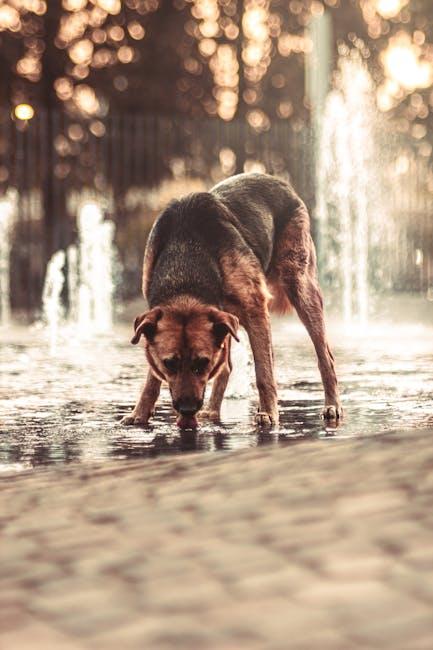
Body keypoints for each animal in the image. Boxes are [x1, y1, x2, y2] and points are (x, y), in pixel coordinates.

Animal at [121, 170, 340, 428]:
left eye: (202, 363)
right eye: (169, 363)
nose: (187, 409)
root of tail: (279, 181)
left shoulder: (255, 310)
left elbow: (263, 372)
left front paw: (268, 412)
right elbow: (152, 379)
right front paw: (140, 413)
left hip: (300, 288)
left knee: (324, 357)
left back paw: (332, 405)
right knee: (228, 366)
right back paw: (212, 411)